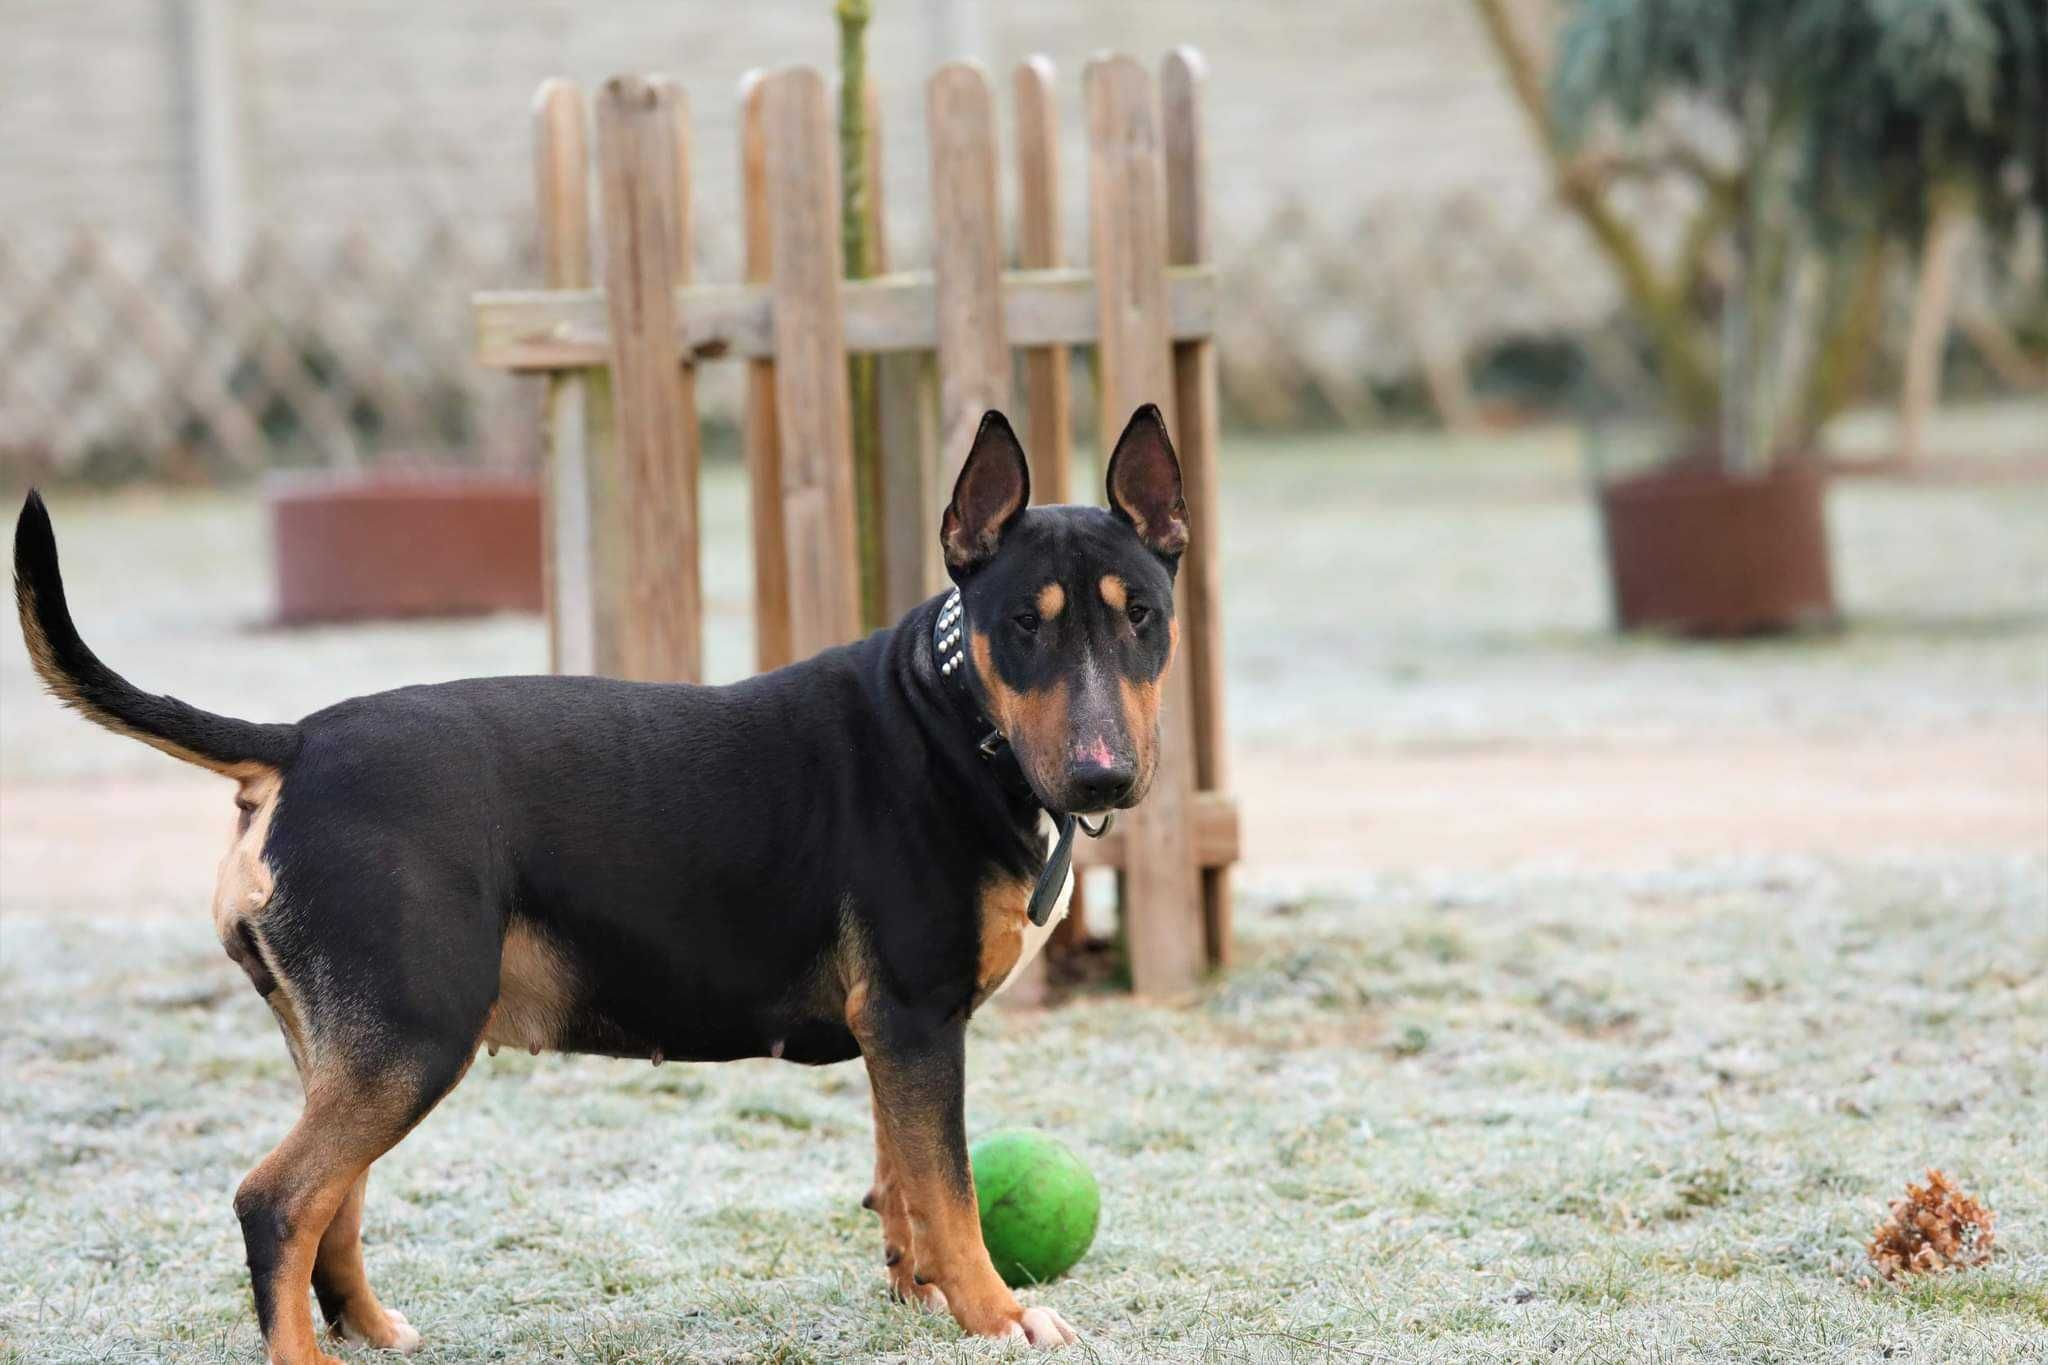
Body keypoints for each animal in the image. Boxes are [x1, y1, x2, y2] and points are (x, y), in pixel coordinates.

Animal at [16, 401, 1196, 1358]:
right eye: (1023, 625)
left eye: (1141, 615)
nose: (1105, 775)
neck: (955, 714)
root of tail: (296, 744)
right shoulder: (914, 1018)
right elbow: (951, 1191)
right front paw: (998, 1315)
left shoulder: (894, 1033)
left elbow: (903, 1180)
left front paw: (924, 1298)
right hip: (415, 1035)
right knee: (277, 1200)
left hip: (352, 1044)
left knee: (329, 1203)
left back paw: (370, 1330)